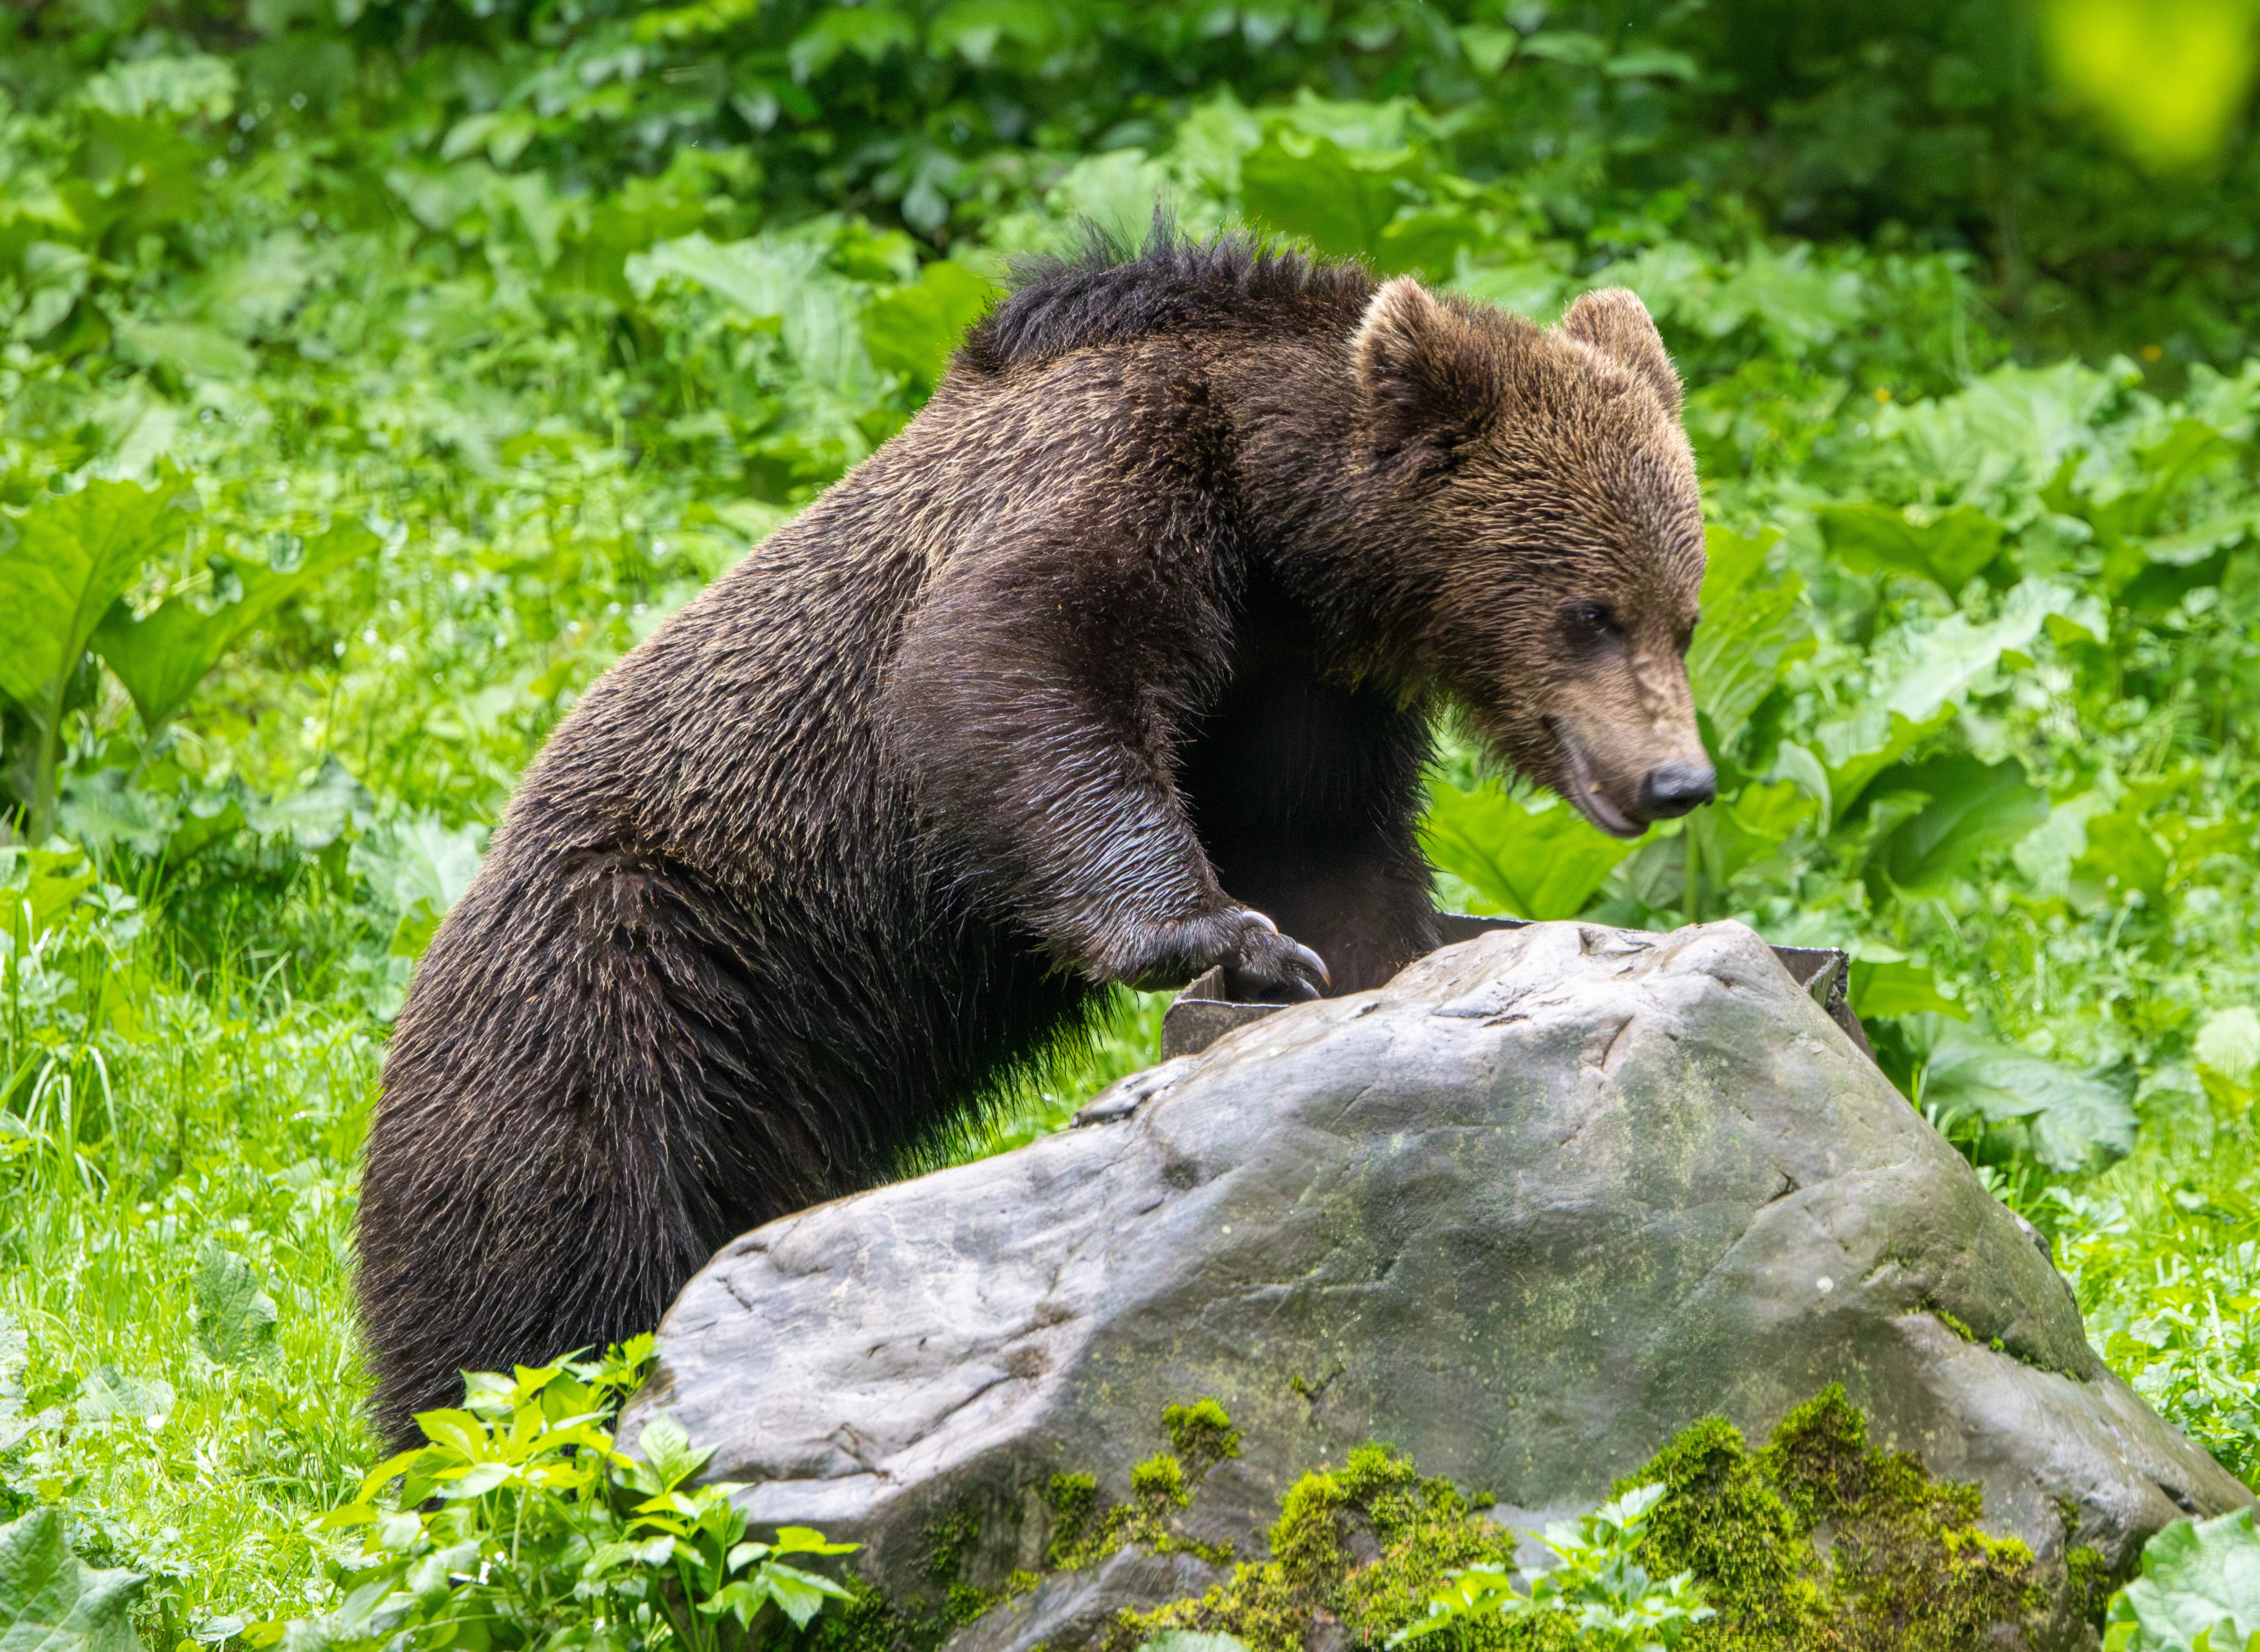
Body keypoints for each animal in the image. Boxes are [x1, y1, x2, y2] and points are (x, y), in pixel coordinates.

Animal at [355, 230, 1716, 1440]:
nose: (1676, 778)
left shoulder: (1296, 691)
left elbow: (1324, 850)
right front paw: (1225, 935)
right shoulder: (1109, 480)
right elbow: (1007, 669)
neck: (1277, 522)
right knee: (547, 1274)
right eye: (1588, 609)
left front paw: (1384, 952)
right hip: (624, 992)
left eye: (1683, 612)